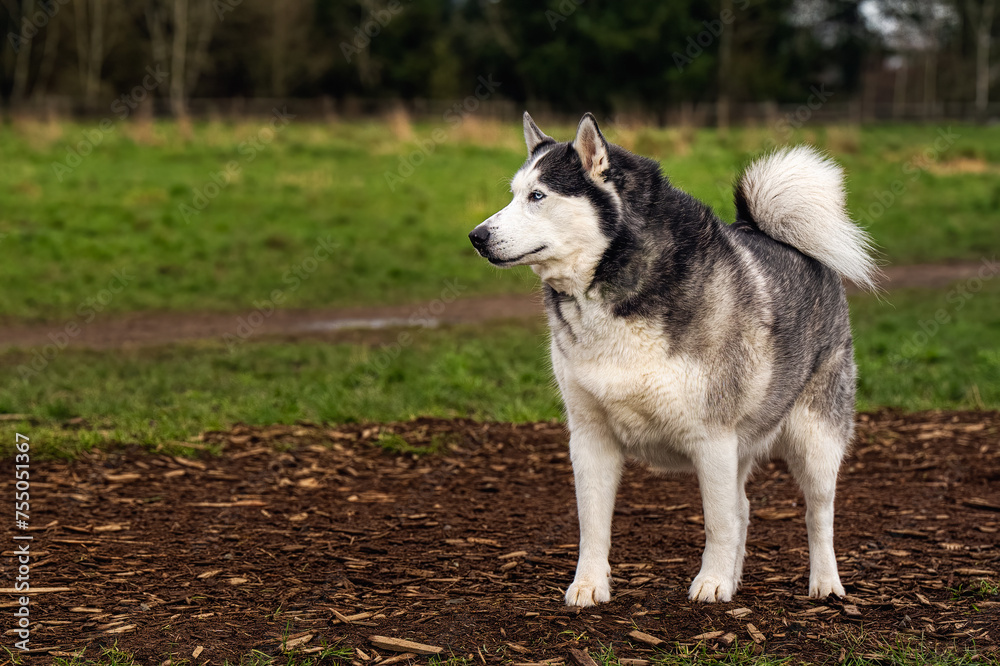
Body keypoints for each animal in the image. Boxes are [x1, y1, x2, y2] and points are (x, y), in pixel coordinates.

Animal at [468, 113, 876, 600]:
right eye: (513, 193)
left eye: (537, 196)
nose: (476, 236)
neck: (617, 293)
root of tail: (770, 232)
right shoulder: (589, 437)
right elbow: (593, 525)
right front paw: (589, 585)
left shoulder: (713, 438)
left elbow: (718, 521)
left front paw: (711, 583)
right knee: (743, 507)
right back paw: (736, 579)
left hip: (815, 438)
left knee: (818, 513)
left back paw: (825, 583)